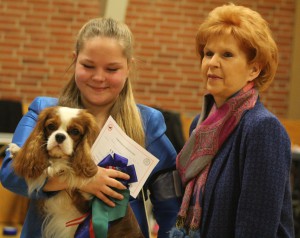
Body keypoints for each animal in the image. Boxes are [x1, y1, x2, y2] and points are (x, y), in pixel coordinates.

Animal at [9, 106, 144, 238]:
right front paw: (17, 151)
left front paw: (57, 166)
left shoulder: (86, 202)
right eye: (51, 126)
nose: (59, 136)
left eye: (75, 131)